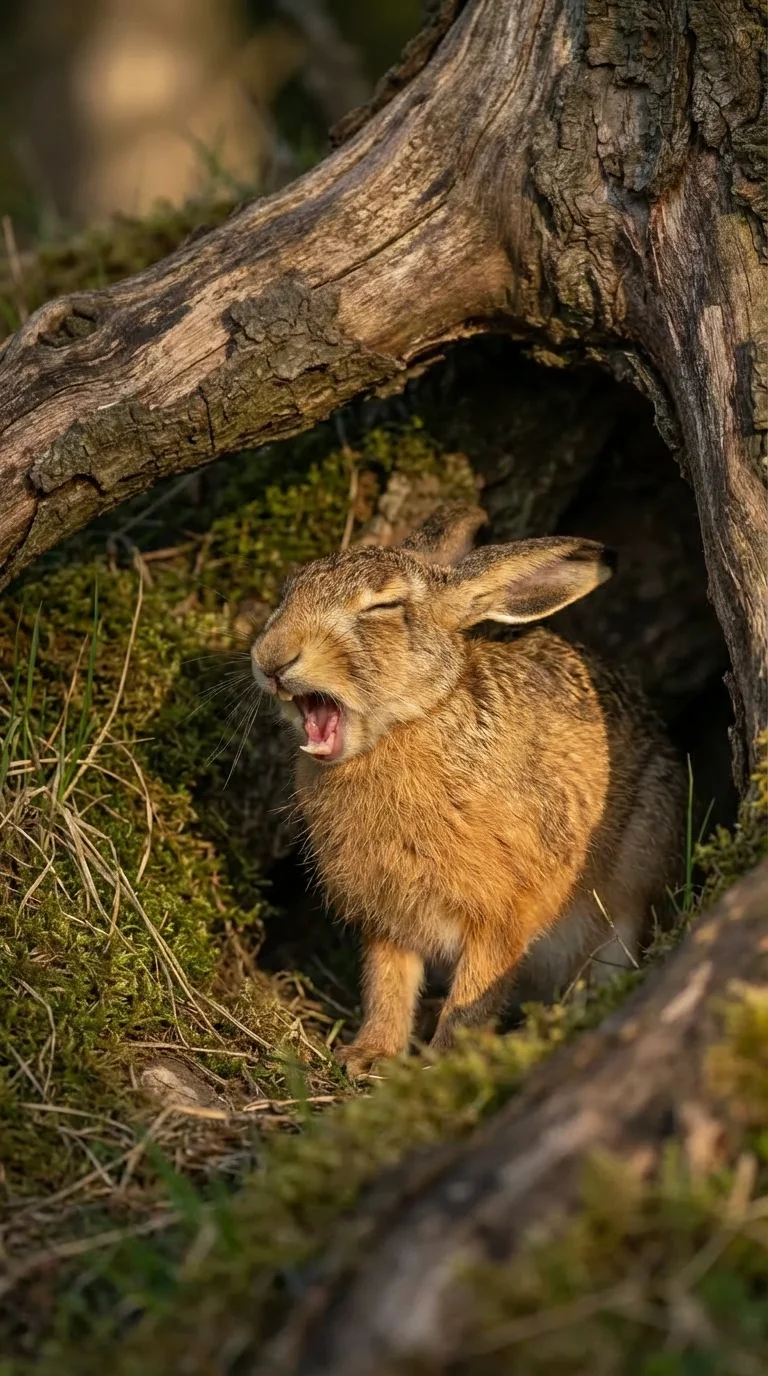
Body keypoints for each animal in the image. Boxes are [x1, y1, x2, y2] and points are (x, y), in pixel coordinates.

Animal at [250, 502, 686, 1077]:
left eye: (383, 607)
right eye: (288, 591)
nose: (271, 658)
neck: (409, 723)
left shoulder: (504, 910)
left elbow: (476, 990)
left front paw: (442, 1063)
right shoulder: (389, 917)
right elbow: (387, 983)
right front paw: (369, 1055)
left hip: (638, 865)